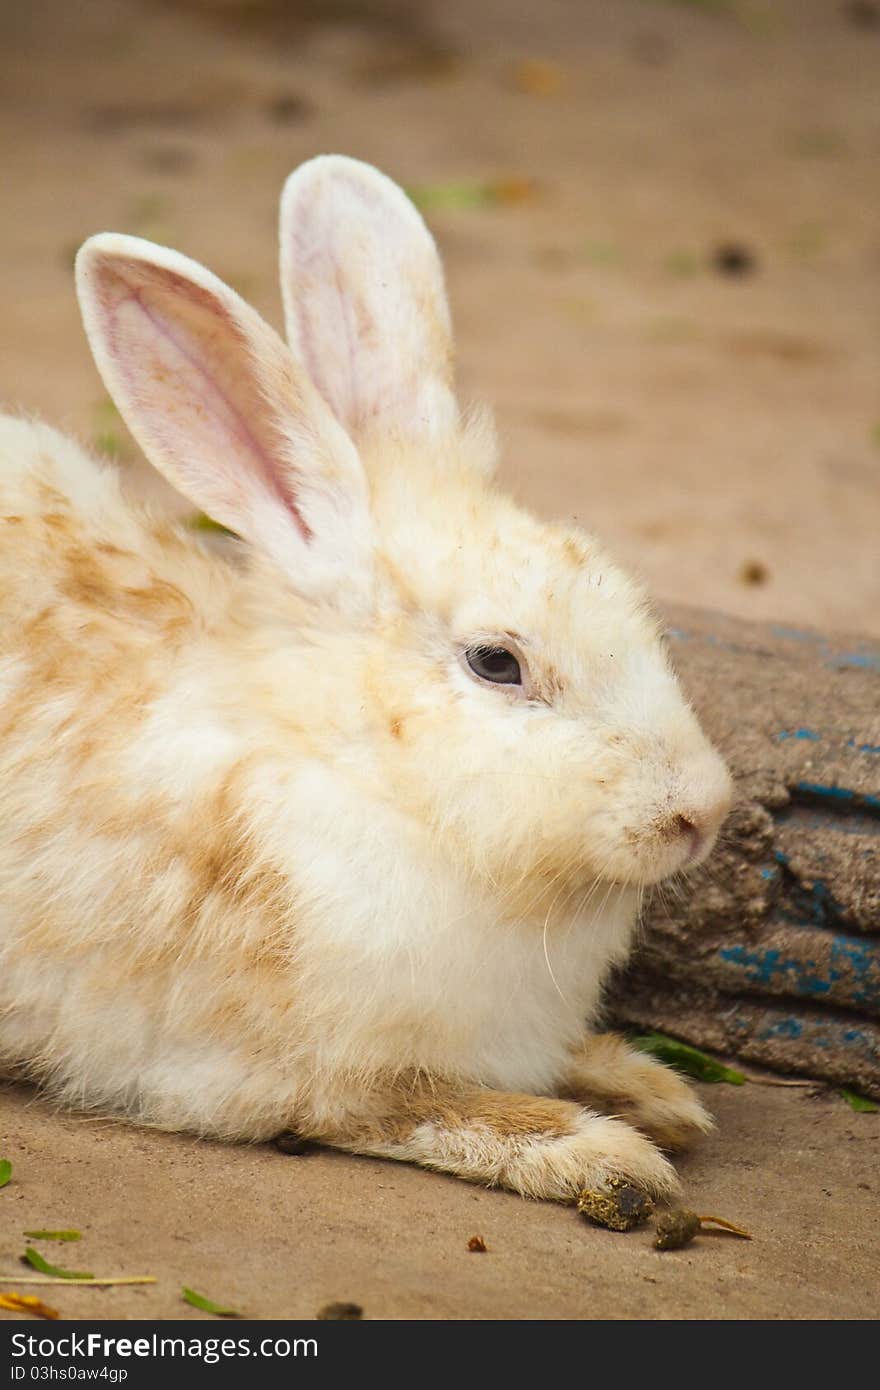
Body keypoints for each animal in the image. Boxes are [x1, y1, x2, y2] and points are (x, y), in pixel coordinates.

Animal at [0, 149, 728, 1195]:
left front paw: (655, 1091)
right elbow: (430, 1112)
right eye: (496, 663)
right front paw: (603, 1156)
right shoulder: (290, 1076)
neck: (358, 773)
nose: (701, 813)